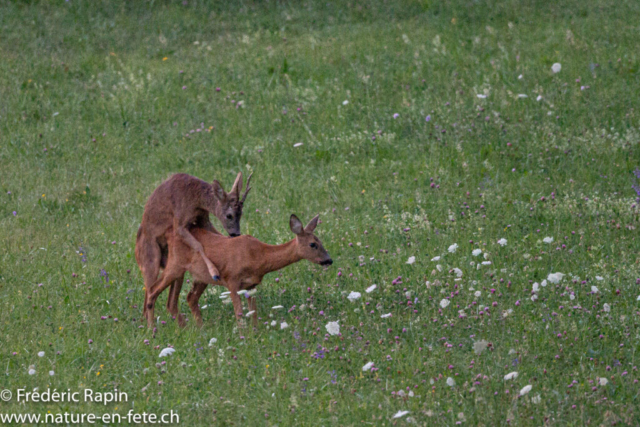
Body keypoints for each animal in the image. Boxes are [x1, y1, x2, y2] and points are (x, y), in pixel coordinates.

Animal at [136, 172, 252, 322]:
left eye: (241, 213)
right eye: (229, 215)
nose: (235, 233)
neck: (196, 200)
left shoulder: (204, 219)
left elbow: (218, 236)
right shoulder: (179, 223)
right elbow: (198, 246)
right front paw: (214, 272)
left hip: (174, 266)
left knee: (169, 303)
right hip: (150, 259)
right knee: (149, 291)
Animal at [144, 214, 332, 328]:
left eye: (321, 242)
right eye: (313, 244)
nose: (329, 260)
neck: (259, 257)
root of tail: (169, 233)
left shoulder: (251, 285)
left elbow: (253, 313)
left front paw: (255, 333)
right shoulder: (231, 280)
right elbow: (239, 313)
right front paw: (243, 336)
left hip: (200, 277)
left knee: (188, 298)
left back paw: (198, 329)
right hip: (175, 266)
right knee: (152, 290)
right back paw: (152, 330)